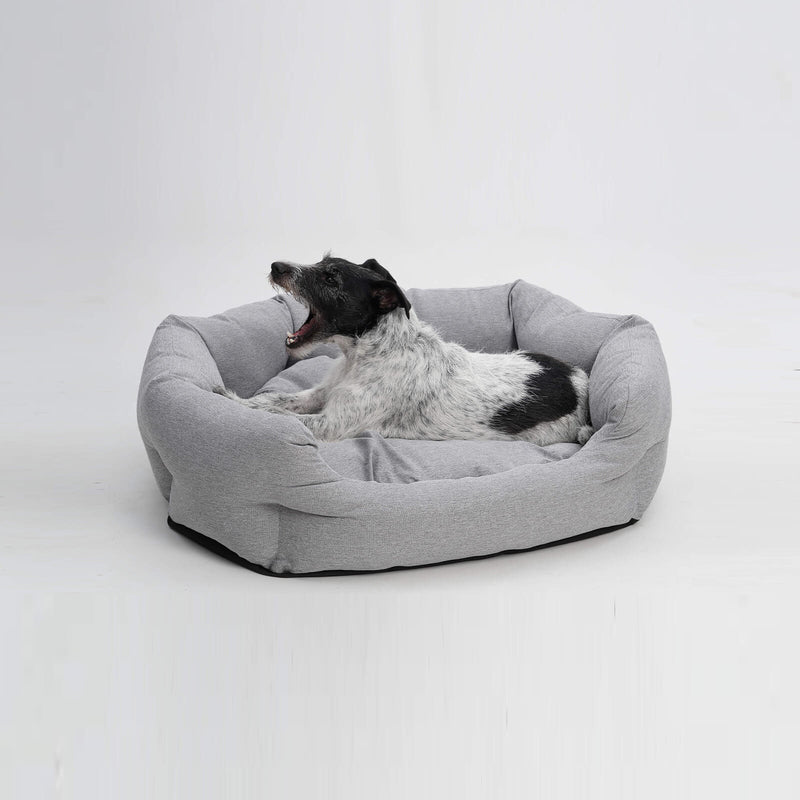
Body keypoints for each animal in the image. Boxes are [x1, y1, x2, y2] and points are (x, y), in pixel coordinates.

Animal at [214, 254, 593, 446]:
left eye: (331, 278)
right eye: (322, 263)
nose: (276, 266)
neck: (365, 354)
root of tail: (580, 380)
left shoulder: (331, 425)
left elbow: (274, 414)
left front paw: (230, 402)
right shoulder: (319, 396)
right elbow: (272, 401)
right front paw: (237, 397)